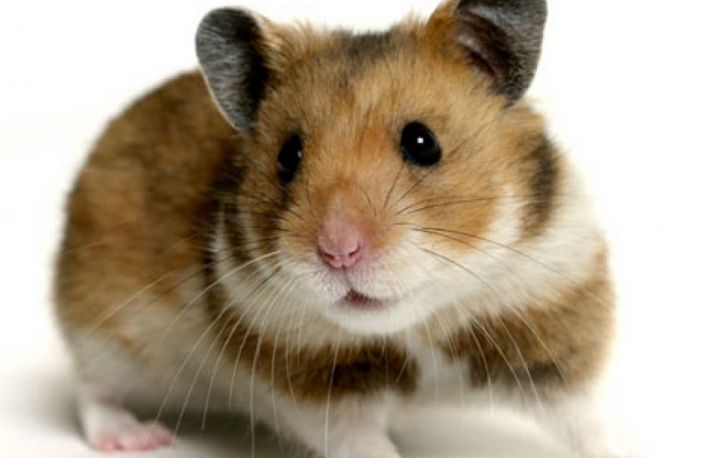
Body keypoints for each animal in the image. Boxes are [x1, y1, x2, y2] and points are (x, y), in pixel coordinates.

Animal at [54, 1, 625, 457]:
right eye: (288, 156)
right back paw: (136, 438)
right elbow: (363, 443)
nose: (338, 253)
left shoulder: (548, 331)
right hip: (105, 329)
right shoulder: (316, 385)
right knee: (91, 390)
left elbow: (587, 423)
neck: (416, 324)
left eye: (423, 142)